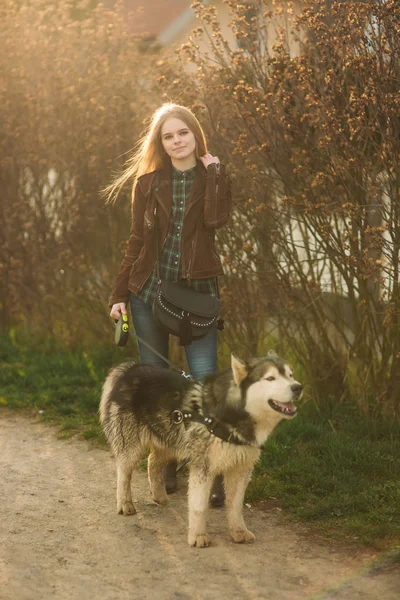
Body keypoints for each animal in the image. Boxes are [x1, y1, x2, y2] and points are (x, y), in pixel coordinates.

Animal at [98, 352, 302, 548]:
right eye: (270, 378)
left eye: (290, 375)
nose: (298, 387)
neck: (229, 416)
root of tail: (130, 367)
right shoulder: (202, 467)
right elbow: (199, 506)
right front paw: (198, 536)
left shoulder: (241, 470)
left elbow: (236, 505)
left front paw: (238, 531)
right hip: (132, 445)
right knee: (124, 472)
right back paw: (125, 503)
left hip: (171, 441)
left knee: (152, 461)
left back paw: (159, 495)